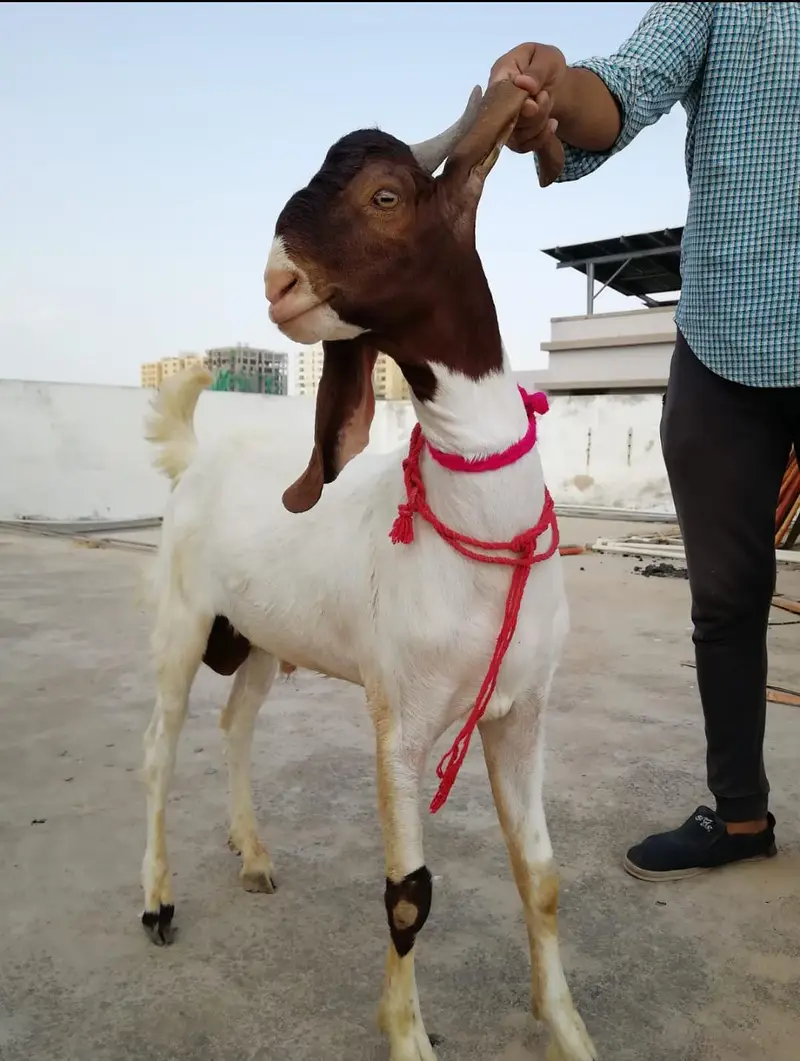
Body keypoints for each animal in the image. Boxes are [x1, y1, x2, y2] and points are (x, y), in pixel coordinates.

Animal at [141, 80, 595, 1061]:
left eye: (386, 195)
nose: (277, 285)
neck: (481, 534)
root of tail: (195, 456)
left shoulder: (524, 711)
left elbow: (541, 874)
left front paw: (569, 1029)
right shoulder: (402, 720)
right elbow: (408, 895)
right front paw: (409, 1036)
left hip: (259, 637)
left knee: (236, 724)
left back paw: (255, 854)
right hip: (182, 619)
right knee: (160, 747)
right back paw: (156, 899)